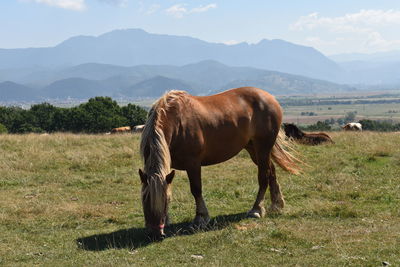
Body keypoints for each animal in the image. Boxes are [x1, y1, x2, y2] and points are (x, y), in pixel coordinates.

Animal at [139, 87, 298, 241]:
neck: (177, 122)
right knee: (271, 171)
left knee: (264, 176)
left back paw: (257, 209)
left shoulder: (193, 164)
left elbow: (196, 190)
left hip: (263, 147)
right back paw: (277, 205)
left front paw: (201, 218)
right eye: (144, 199)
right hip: (253, 149)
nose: (156, 234)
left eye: (166, 200)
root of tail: (269, 97)